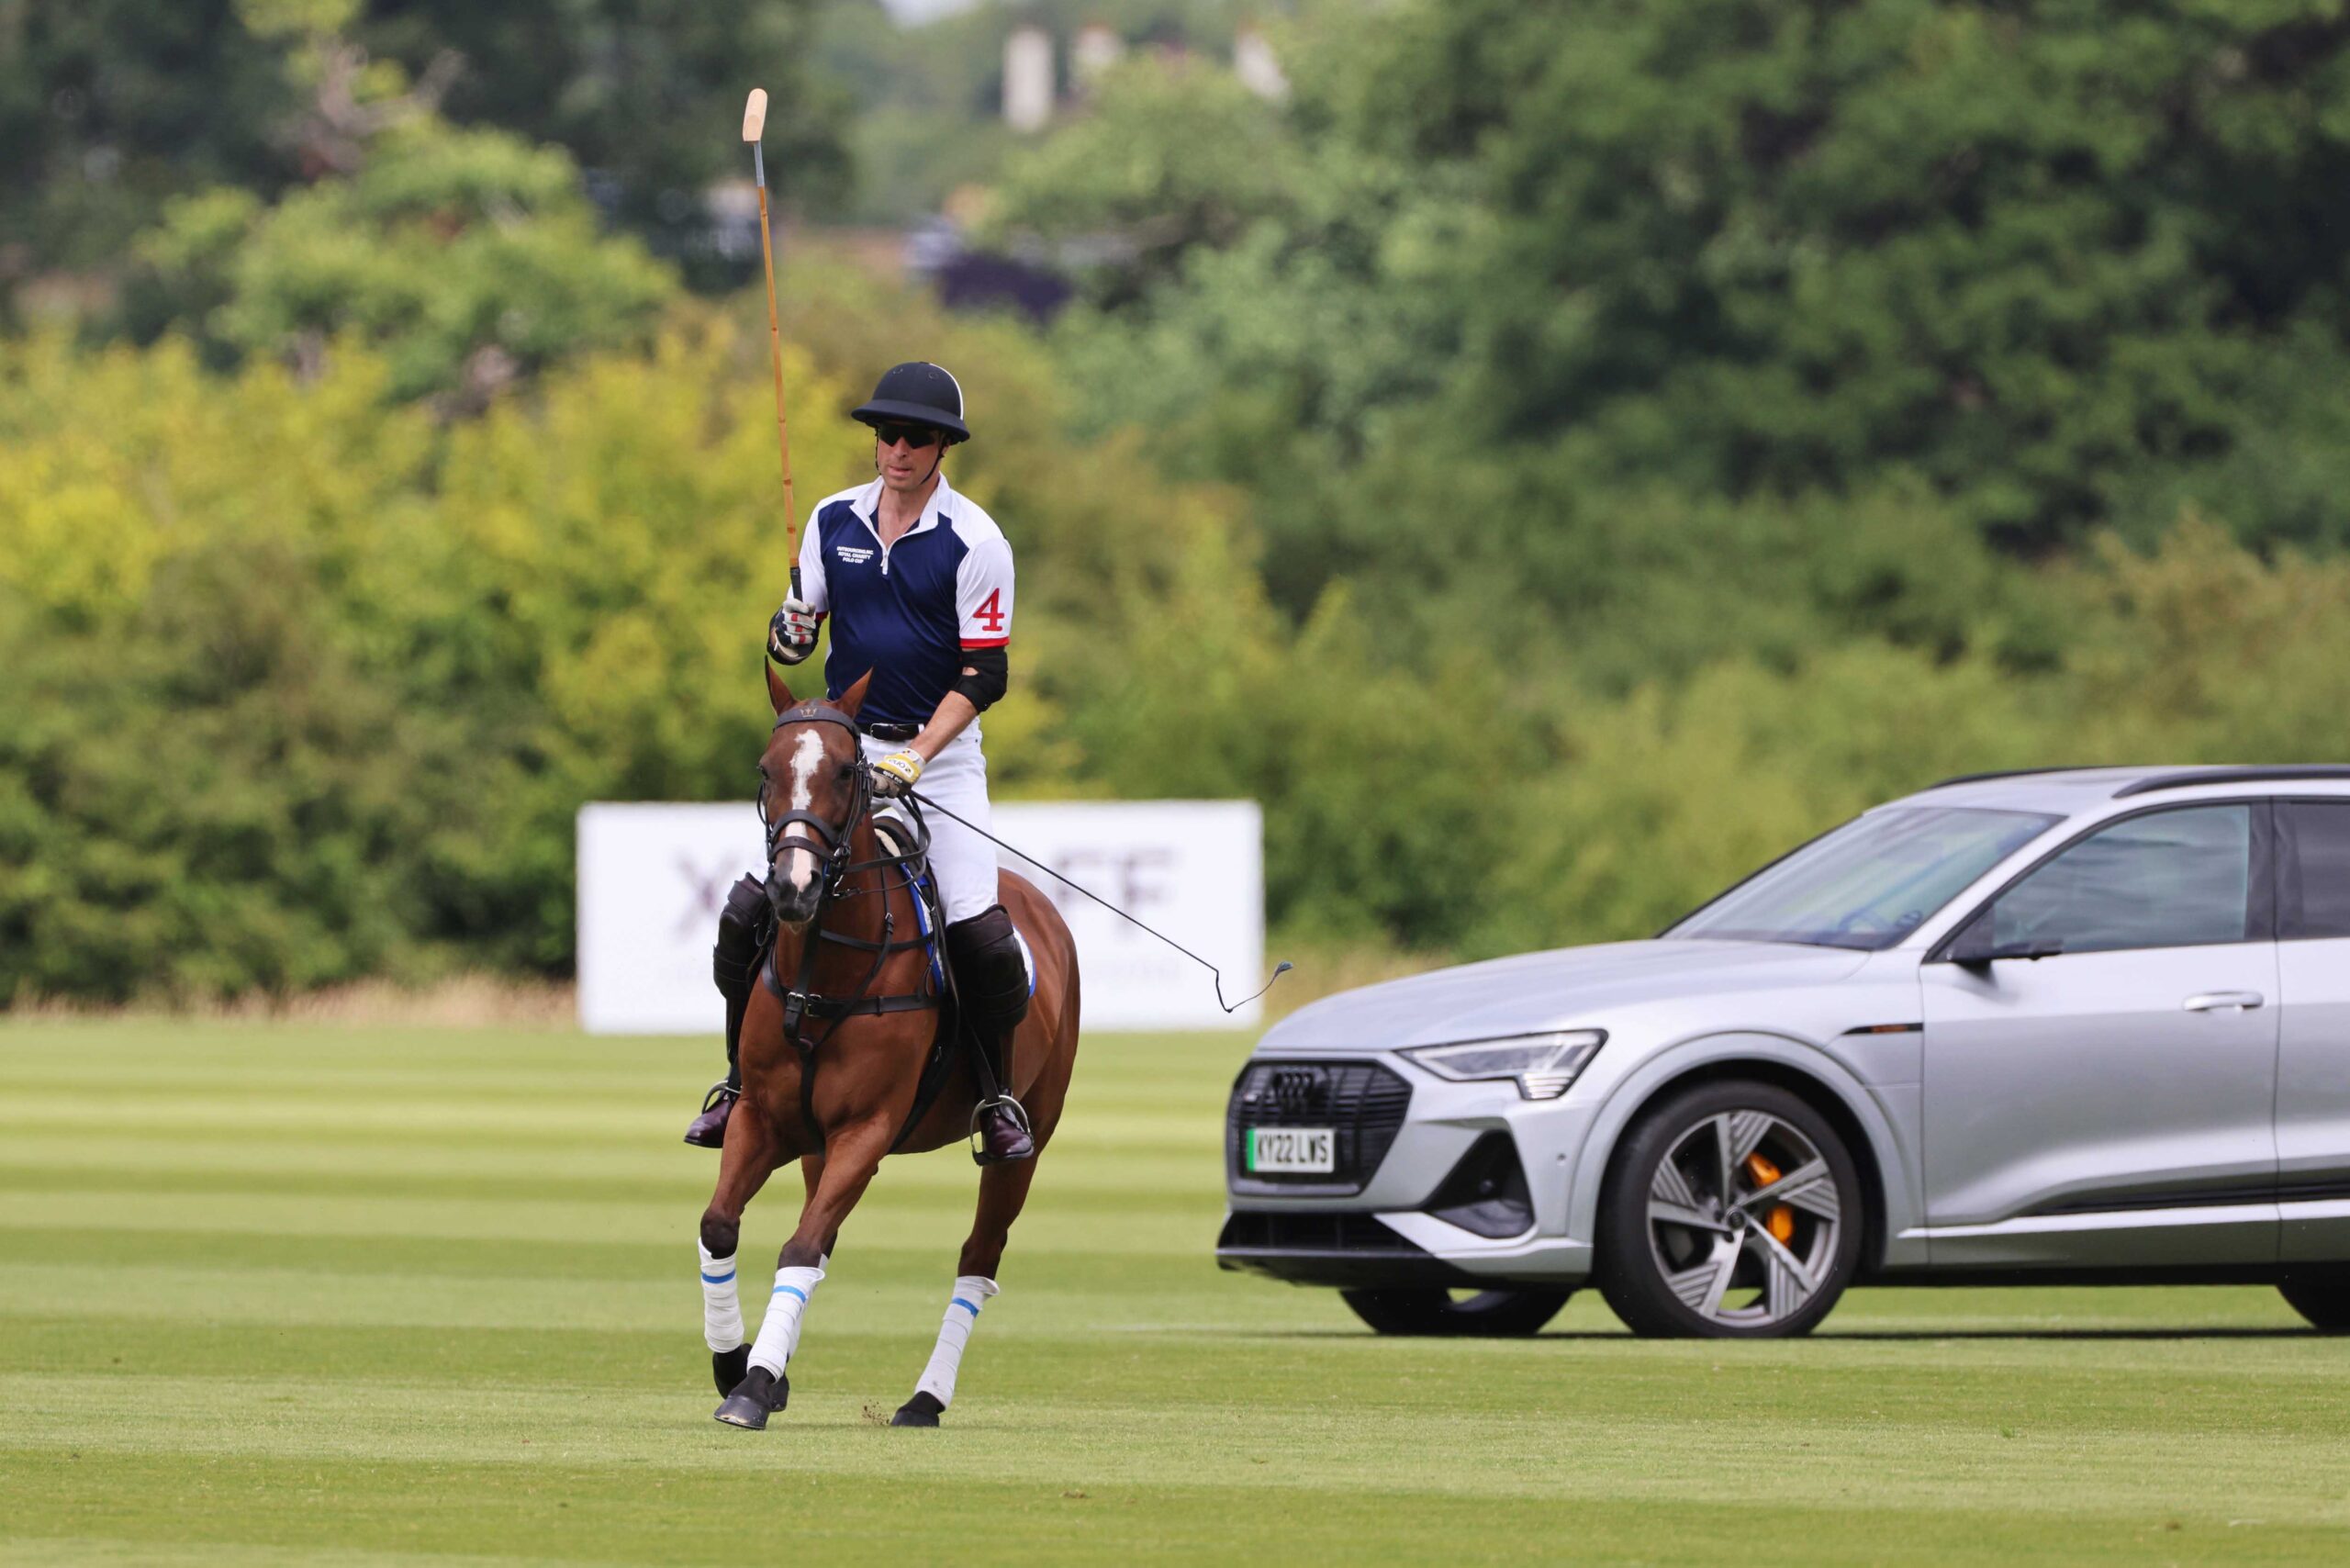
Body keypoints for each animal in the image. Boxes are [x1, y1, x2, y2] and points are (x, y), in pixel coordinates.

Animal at [686, 667, 1076, 1428]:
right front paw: (734, 1366)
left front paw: (749, 1386)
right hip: (812, 1146)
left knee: (979, 1256)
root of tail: (1038, 903)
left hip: (1030, 1136)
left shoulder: (866, 1130)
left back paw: (925, 1398)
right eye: (767, 770)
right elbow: (721, 1225)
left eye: (845, 770)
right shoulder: (764, 1119)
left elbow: (801, 1243)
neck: (825, 972)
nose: (793, 888)